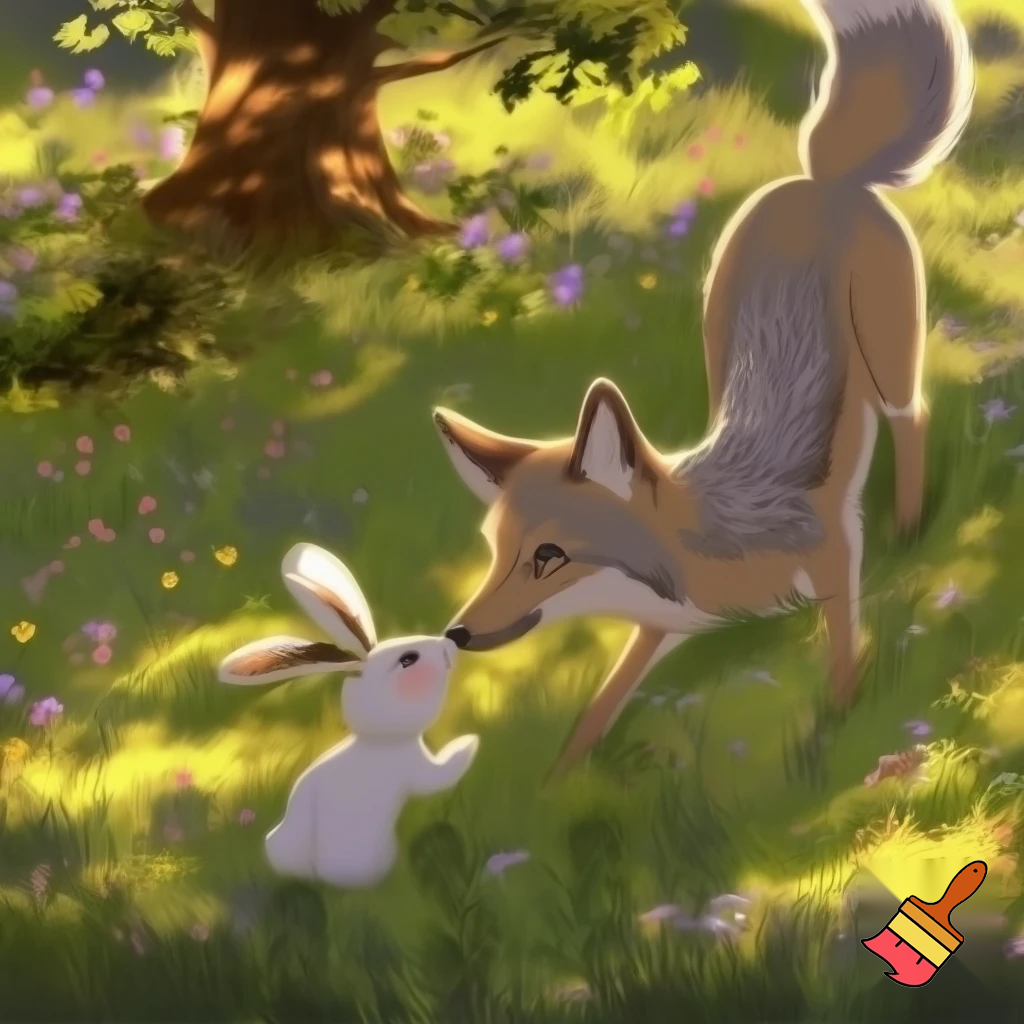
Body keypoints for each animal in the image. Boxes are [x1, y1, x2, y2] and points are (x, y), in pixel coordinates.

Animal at [217, 541, 479, 889]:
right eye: (408, 659)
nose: (449, 642)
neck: (378, 741)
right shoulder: (414, 768)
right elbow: (439, 776)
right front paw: (469, 742)